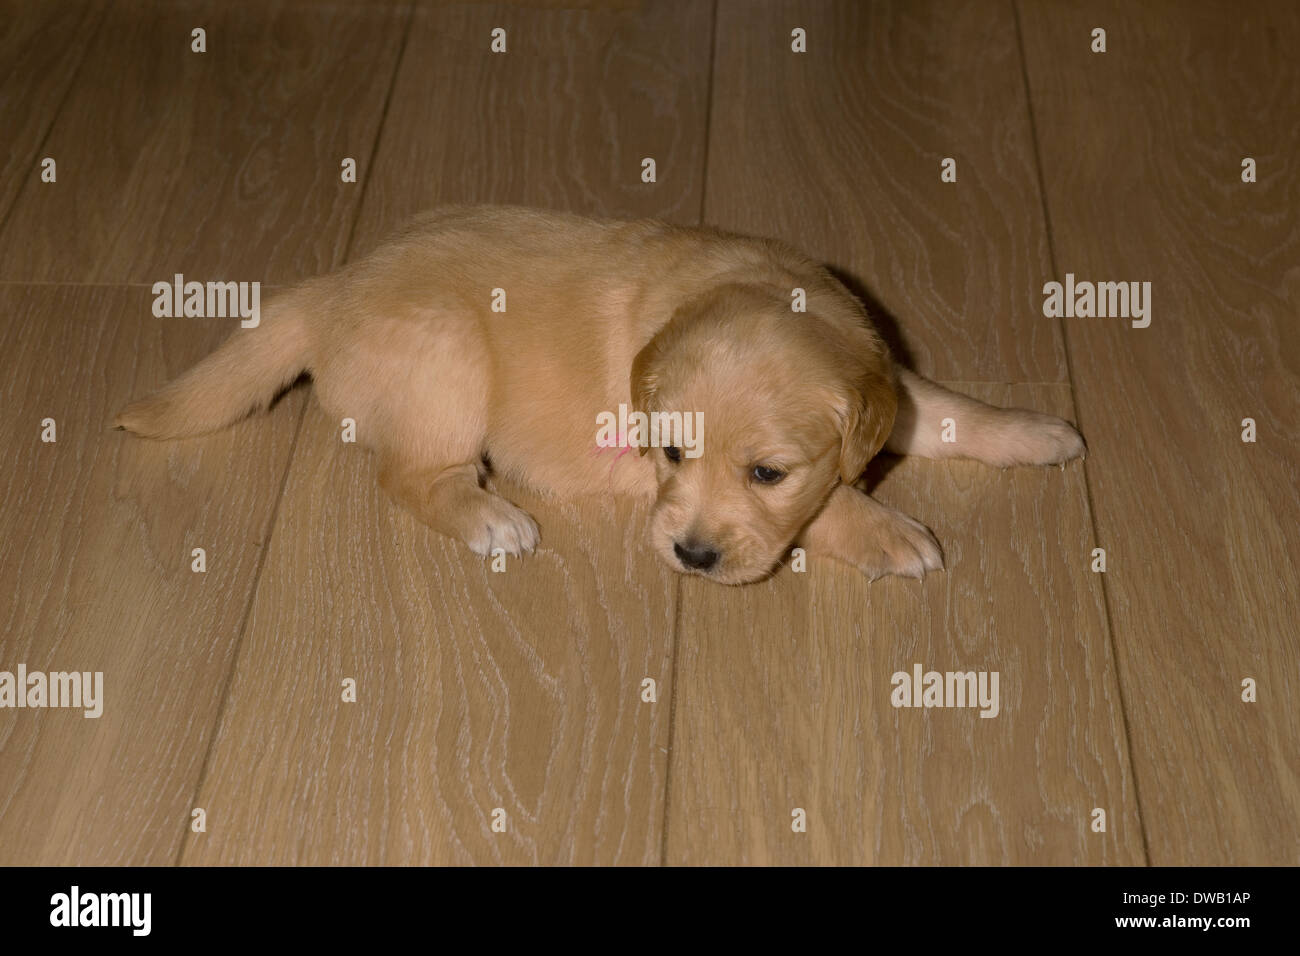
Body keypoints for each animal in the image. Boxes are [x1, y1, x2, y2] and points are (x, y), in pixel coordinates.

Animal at [114, 205, 1086, 587]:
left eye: (766, 472)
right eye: (672, 452)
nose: (691, 556)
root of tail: (331, 289)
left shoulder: (889, 377)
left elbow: (947, 411)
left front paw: (1037, 431)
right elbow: (834, 505)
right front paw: (890, 533)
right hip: (448, 360)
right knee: (411, 477)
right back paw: (491, 518)